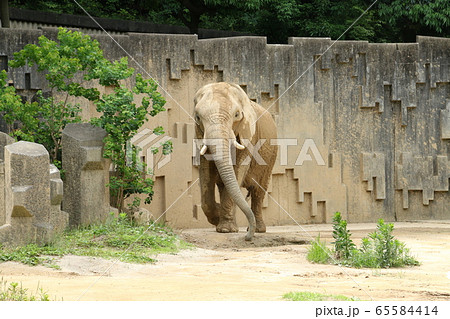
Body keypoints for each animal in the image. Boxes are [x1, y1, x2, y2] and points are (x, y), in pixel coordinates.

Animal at [193, 81, 278, 241]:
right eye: (198, 117)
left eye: (237, 115)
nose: (247, 237)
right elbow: (206, 172)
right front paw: (218, 217)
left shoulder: (249, 136)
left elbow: (238, 169)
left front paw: (226, 230)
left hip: (271, 155)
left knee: (258, 191)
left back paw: (258, 230)